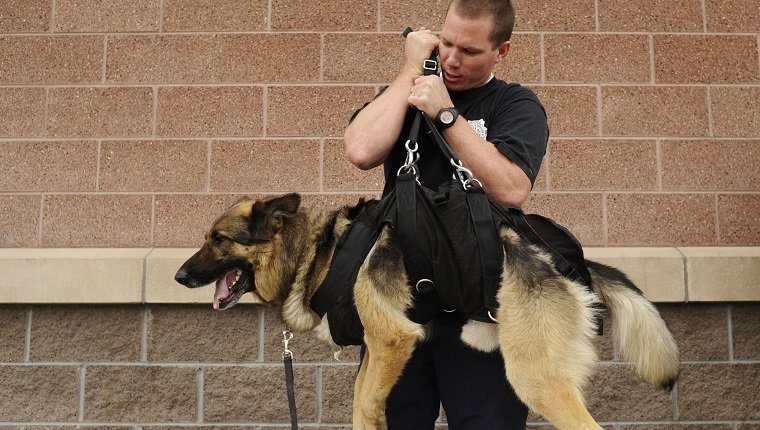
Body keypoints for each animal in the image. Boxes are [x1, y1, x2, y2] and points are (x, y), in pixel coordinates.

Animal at [175, 193, 680, 428]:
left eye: (218, 239)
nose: (179, 276)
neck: (316, 253)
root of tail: (567, 262)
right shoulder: (377, 352)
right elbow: (359, 403)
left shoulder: (392, 340)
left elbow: (367, 405)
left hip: (536, 377)